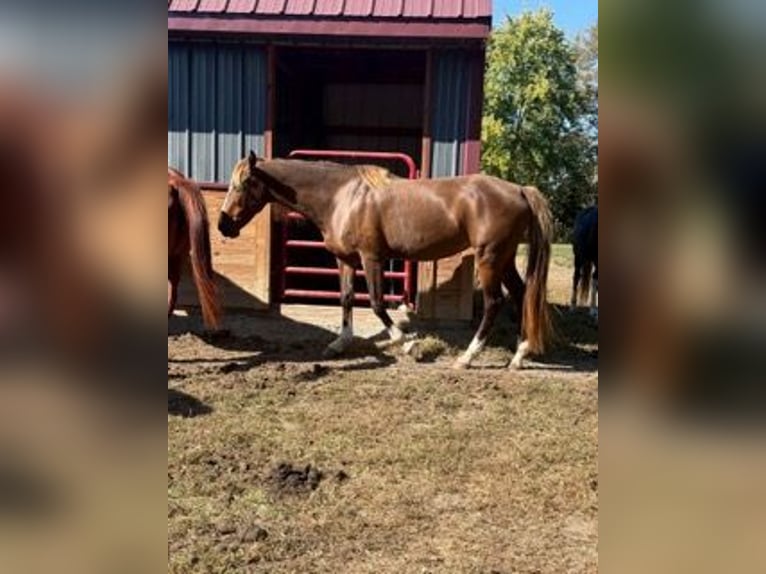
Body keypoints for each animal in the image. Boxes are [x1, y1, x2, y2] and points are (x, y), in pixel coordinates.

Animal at [218, 152, 553, 369]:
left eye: (241, 184)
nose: (223, 225)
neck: (341, 197)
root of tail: (520, 190)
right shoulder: (346, 260)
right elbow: (346, 299)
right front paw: (339, 343)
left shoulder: (372, 259)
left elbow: (378, 304)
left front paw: (409, 345)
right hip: (504, 259)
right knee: (521, 295)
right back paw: (519, 355)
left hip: (489, 258)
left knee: (495, 302)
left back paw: (467, 358)